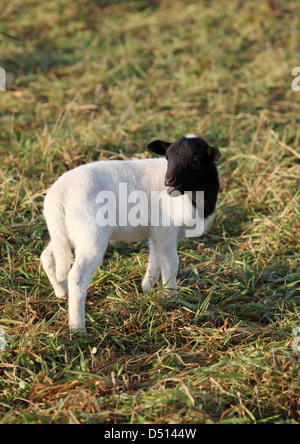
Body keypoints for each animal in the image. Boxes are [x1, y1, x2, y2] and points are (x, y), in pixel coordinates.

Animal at [40, 134, 220, 332]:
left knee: (48, 257)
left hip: (65, 233)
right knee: (77, 276)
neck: (194, 196)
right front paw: (170, 297)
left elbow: (155, 259)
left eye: (195, 160)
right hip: (90, 233)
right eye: (167, 157)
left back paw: (61, 292)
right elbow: (171, 263)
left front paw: (148, 287)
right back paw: (78, 326)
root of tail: (58, 196)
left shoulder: (157, 231)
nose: (168, 181)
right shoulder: (166, 230)